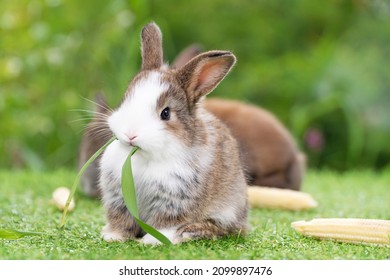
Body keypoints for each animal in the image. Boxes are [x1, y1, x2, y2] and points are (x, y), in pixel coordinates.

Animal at [99, 22, 248, 245]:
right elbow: (121, 220)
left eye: (166, 113)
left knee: (224, 229)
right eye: (125, 100)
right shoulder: (119, 198)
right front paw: (113, 236)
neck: (145, 156)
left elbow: (165, 223)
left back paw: (192, 231)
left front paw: (154, 241)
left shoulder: (174, 200)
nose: (130, 134)